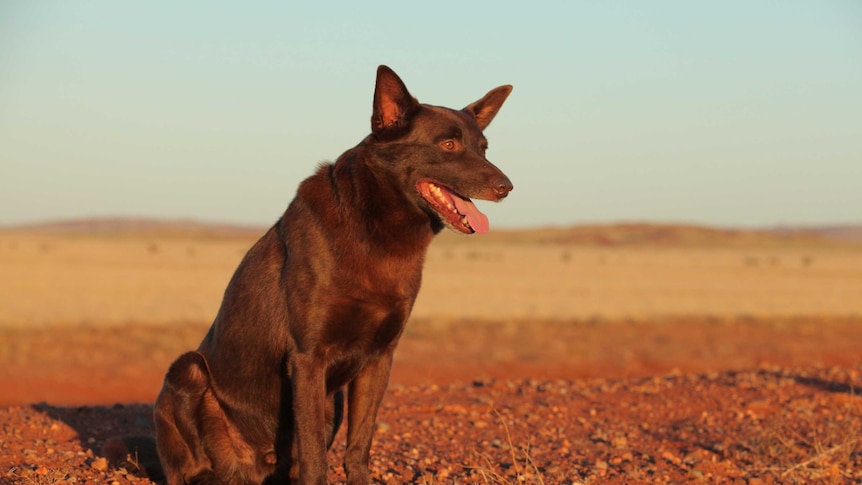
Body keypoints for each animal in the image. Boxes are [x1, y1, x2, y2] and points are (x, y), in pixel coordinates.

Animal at [154, 65, 512, 484]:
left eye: (484, 148)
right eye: (450, 145)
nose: (506, 187)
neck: (374, 231)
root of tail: (252, 465)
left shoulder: (378, 359)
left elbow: (359, 444)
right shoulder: (308, 360)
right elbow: (313, 457)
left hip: (332, 400)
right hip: (188, 371)